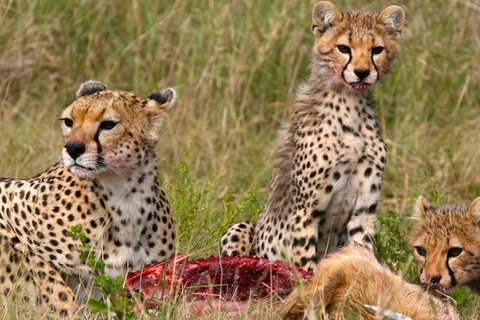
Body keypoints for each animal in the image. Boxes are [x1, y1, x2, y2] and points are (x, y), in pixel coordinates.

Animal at [0, 81, 176, 316]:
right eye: (69, 122)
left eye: (108, 125)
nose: (72, 148)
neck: (124, 195)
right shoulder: (9, 204)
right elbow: (53, 284)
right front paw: (67, 310)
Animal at [221, 1, 404, 272]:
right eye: (343, 48)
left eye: (377, 50)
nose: (362, 72)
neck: (351, 107)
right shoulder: (307, 210)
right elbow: (306, 261)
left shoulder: (363, 210)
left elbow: (362, 255)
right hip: (241, 228)